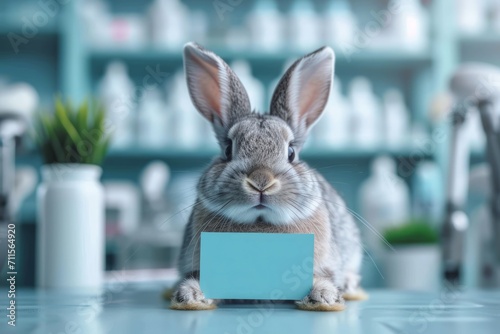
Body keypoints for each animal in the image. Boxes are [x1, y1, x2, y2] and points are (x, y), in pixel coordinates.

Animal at [170, 43, 366, 312]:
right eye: (228, 150)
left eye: (291, 152)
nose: (261, 181)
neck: (260, 227)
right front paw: (190, 296)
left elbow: (320, 277)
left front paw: (324, 297)